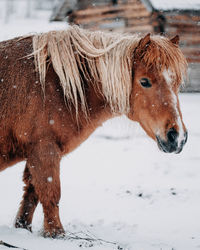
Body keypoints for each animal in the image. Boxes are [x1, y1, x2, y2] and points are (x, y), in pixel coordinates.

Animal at [0, 25, 188, 238]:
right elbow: (50, 193)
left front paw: (24, 228)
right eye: (145, 81)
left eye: (177, 82)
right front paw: (55, 233)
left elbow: (31, 194)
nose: (178, 137)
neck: (57, 87)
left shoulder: (36, 153)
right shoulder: (44, 149)